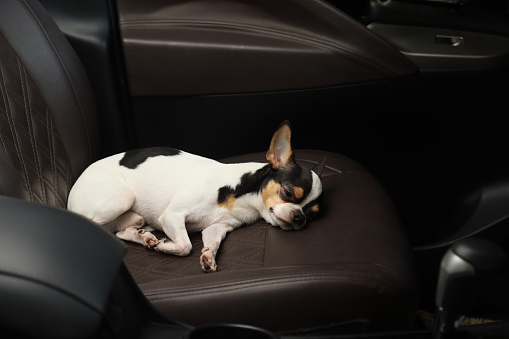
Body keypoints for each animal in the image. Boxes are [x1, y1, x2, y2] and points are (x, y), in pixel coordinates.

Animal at [67, 121, 324, 272]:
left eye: (312, 215)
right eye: (288, 192)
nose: (299, 217)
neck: (240, 197)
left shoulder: (216, 228)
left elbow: (211, 242)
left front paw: (208, 255)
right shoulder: (171, 217)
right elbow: (185, 246)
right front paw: (166, 247)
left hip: (131, 215)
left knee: (121, 231)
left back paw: (142, 237)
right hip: (120, 199)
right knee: (95, 224)